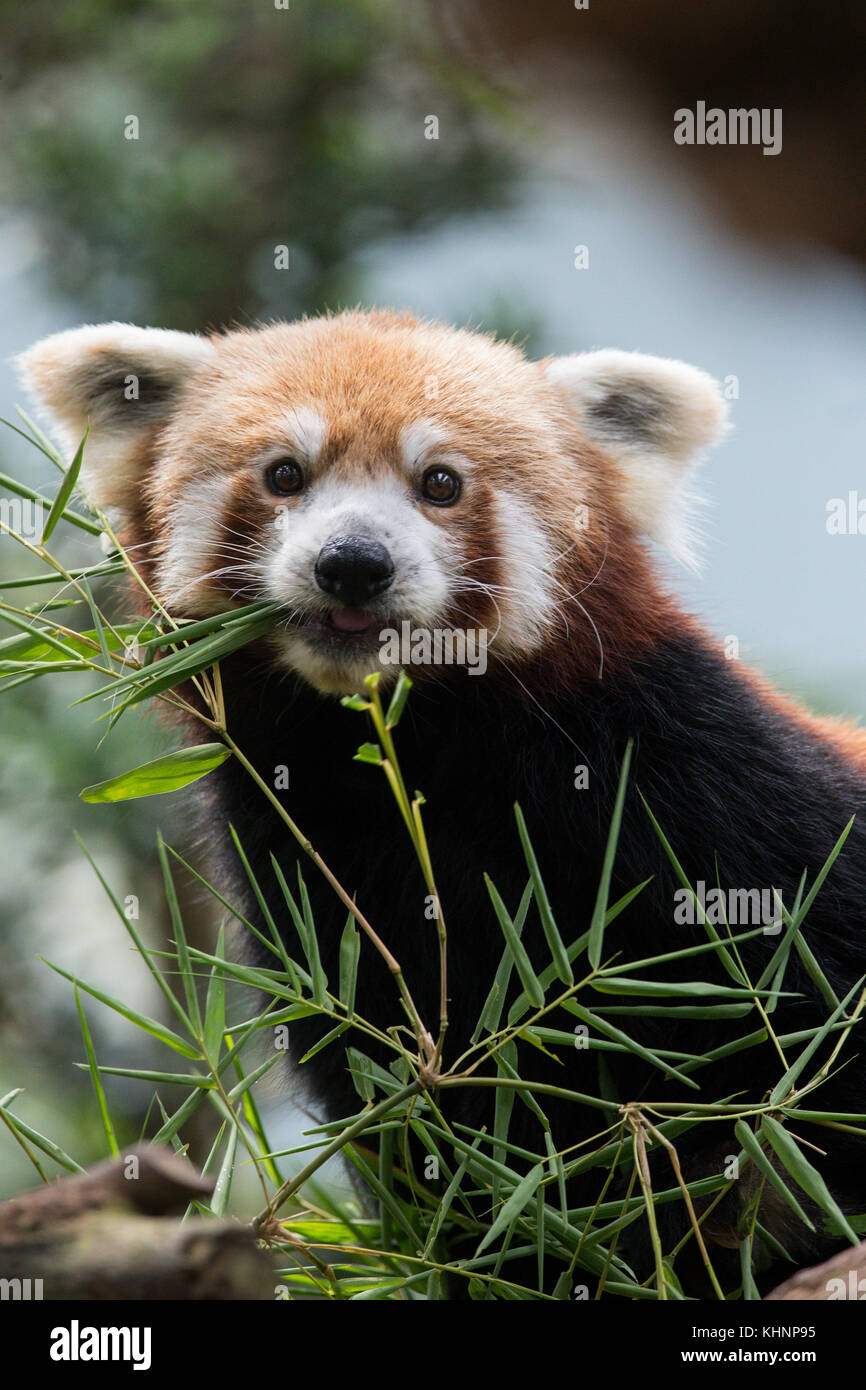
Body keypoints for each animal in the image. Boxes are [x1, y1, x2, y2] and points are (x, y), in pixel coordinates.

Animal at [18, 309, 866, 1295]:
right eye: (285, 474)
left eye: (441, 483)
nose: (353, 564)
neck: (418, 758)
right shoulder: (315, 882)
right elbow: (437, 1138)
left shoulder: (713, 796)